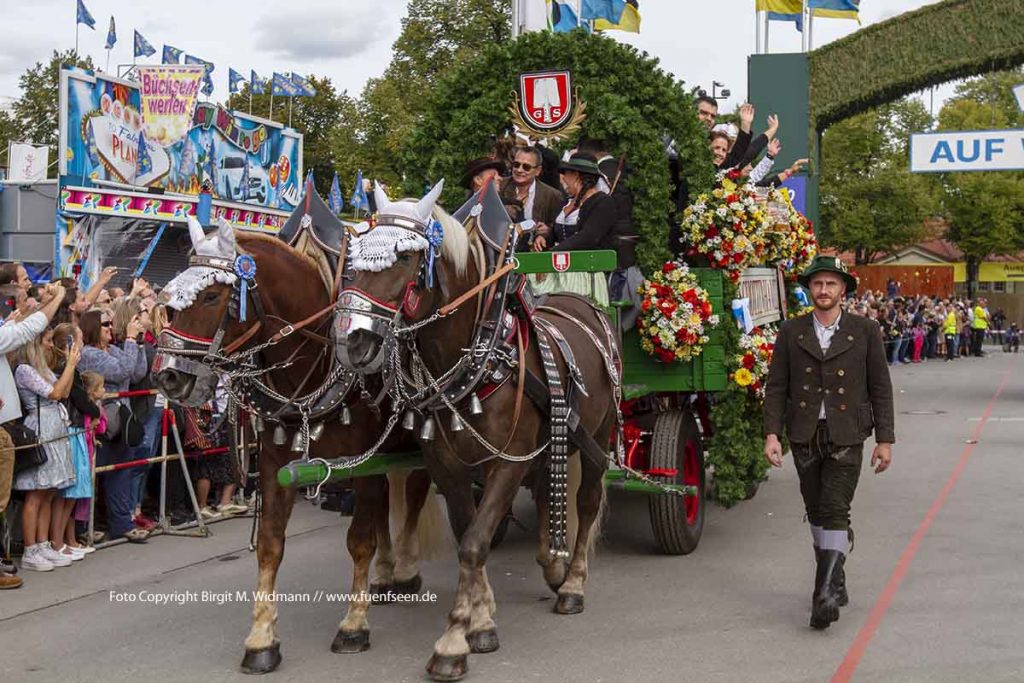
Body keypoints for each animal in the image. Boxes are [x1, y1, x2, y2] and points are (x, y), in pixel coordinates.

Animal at [153, 219, 450, 671]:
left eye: (211, 295)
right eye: (171, 300)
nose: (168, 376)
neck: (314, 358)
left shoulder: (361, 461)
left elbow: (359, 540)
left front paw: (353, 625)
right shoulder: (276, 463)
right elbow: (271, 545)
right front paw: (261, 640)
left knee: (413, 494)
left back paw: (405, 569)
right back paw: (384, 574)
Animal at [335, 185, 614, 683]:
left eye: (405, 257)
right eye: (356, 259)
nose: (352, 341)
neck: (479, 358)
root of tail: (580, 302)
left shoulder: (506, 463)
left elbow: (472, 543)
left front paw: (452, 641)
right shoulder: (447, 466)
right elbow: (470, 533)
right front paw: (480, 621)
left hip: (600, 436)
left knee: (586, 500)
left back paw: (573, 583)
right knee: (549, 492)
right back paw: (552, 565)